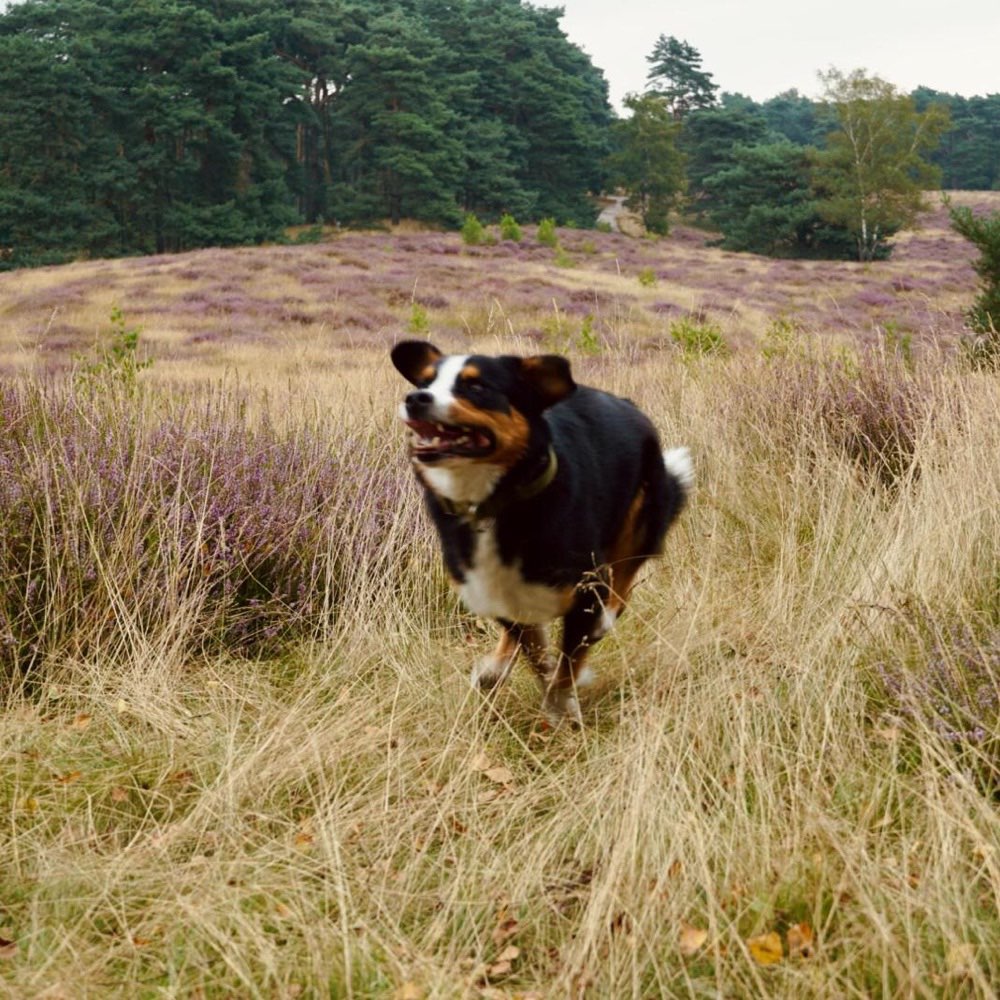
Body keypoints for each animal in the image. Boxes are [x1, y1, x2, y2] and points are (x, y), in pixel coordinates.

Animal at [392, 340, 696, 724]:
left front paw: (561, 703)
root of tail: (626, 403)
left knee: (624, 578)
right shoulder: (493, 588)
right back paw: (494, 669)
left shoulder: (587, 586)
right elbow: (534, 651)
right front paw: (540, 685)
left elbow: (569, 659)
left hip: (641, 517)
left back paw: (603, 620)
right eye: (427, 382)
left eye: (476, 386)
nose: (415, 398)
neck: (494, 503)